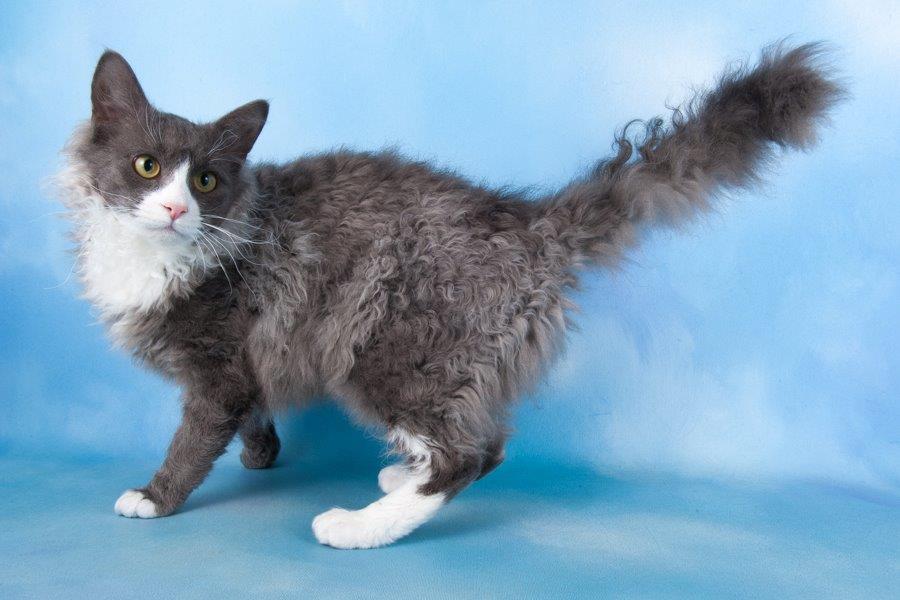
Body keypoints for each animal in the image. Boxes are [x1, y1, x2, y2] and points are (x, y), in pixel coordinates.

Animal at [57, 43, 842, 549]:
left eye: (206, 181)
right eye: (147, 166)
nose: (174, 209)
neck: (160, 255)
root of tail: (528, 221)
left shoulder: (217, 365)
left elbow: (194, 438)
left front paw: (155, 497)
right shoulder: (245, 364)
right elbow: (254, 409)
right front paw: (263, 454)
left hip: (388, 348)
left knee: (474, 453)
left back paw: (357, 527)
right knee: (460, 442)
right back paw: (396, 476)